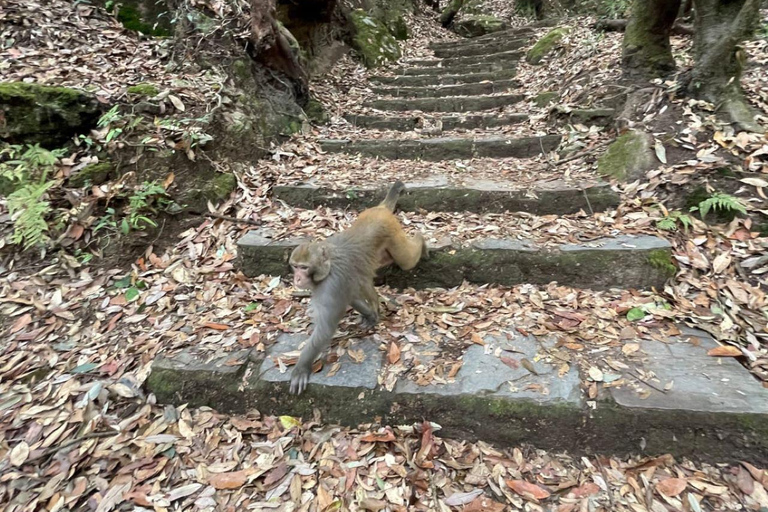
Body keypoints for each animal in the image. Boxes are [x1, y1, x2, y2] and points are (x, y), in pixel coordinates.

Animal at [286, 182, 428, 394]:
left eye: (304, 267)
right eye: (295, 266)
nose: (297, 278)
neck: (327, 268)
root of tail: (380, 210)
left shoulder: (331, 286)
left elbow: (325, 329)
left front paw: (301, 368)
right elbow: (352, 295)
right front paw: (370, 315)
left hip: (392, 231)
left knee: (407, 260)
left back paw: (421, 240)